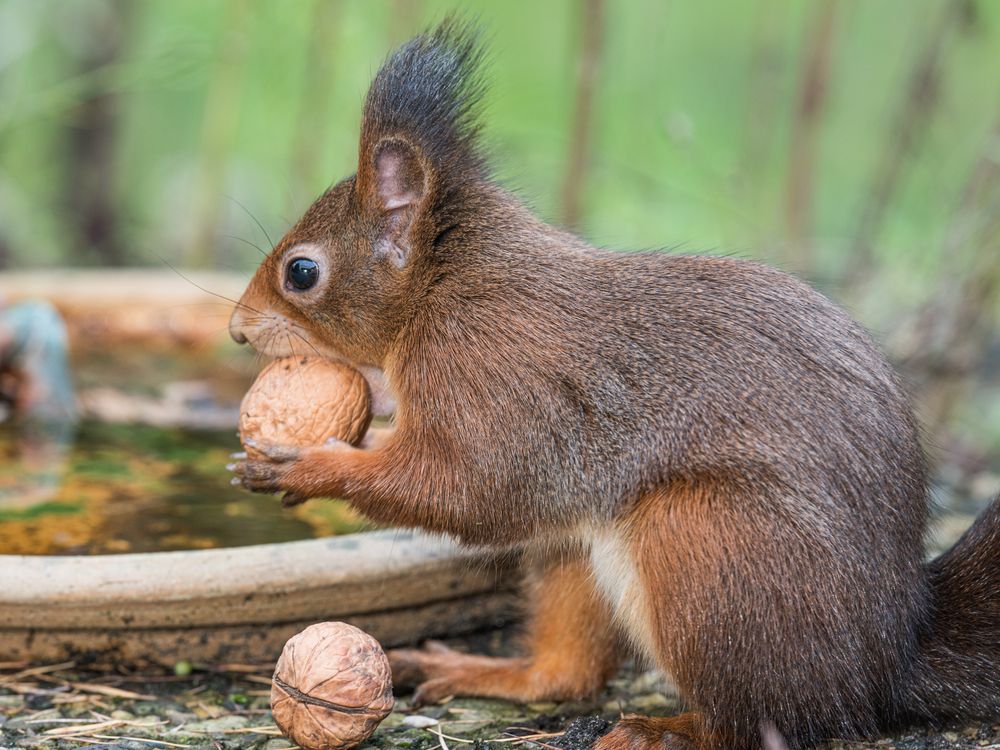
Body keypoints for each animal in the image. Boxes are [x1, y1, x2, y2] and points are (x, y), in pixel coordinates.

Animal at [230, 20, 1000, 750]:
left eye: (302, 272)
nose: (238, 329)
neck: (445, 289)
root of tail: (884, 660)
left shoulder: (495, 379)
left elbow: (462, 487)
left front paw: (306, 465)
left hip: (704, 547)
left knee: (765, 721)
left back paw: (668, 730)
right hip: (581, 554)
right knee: (568, 673)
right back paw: (489, 672)